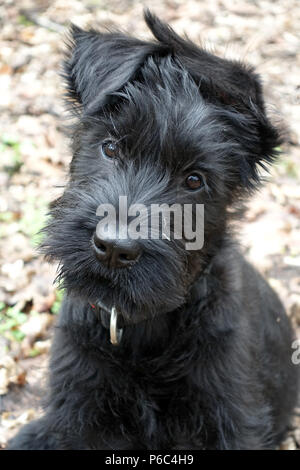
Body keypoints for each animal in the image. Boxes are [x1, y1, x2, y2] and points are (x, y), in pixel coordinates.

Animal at [8, 11, 298, 450]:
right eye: (110, 147)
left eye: (194, 180)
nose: (113, 248)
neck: (143, 328)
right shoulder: (72, 415)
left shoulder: (231, 420)